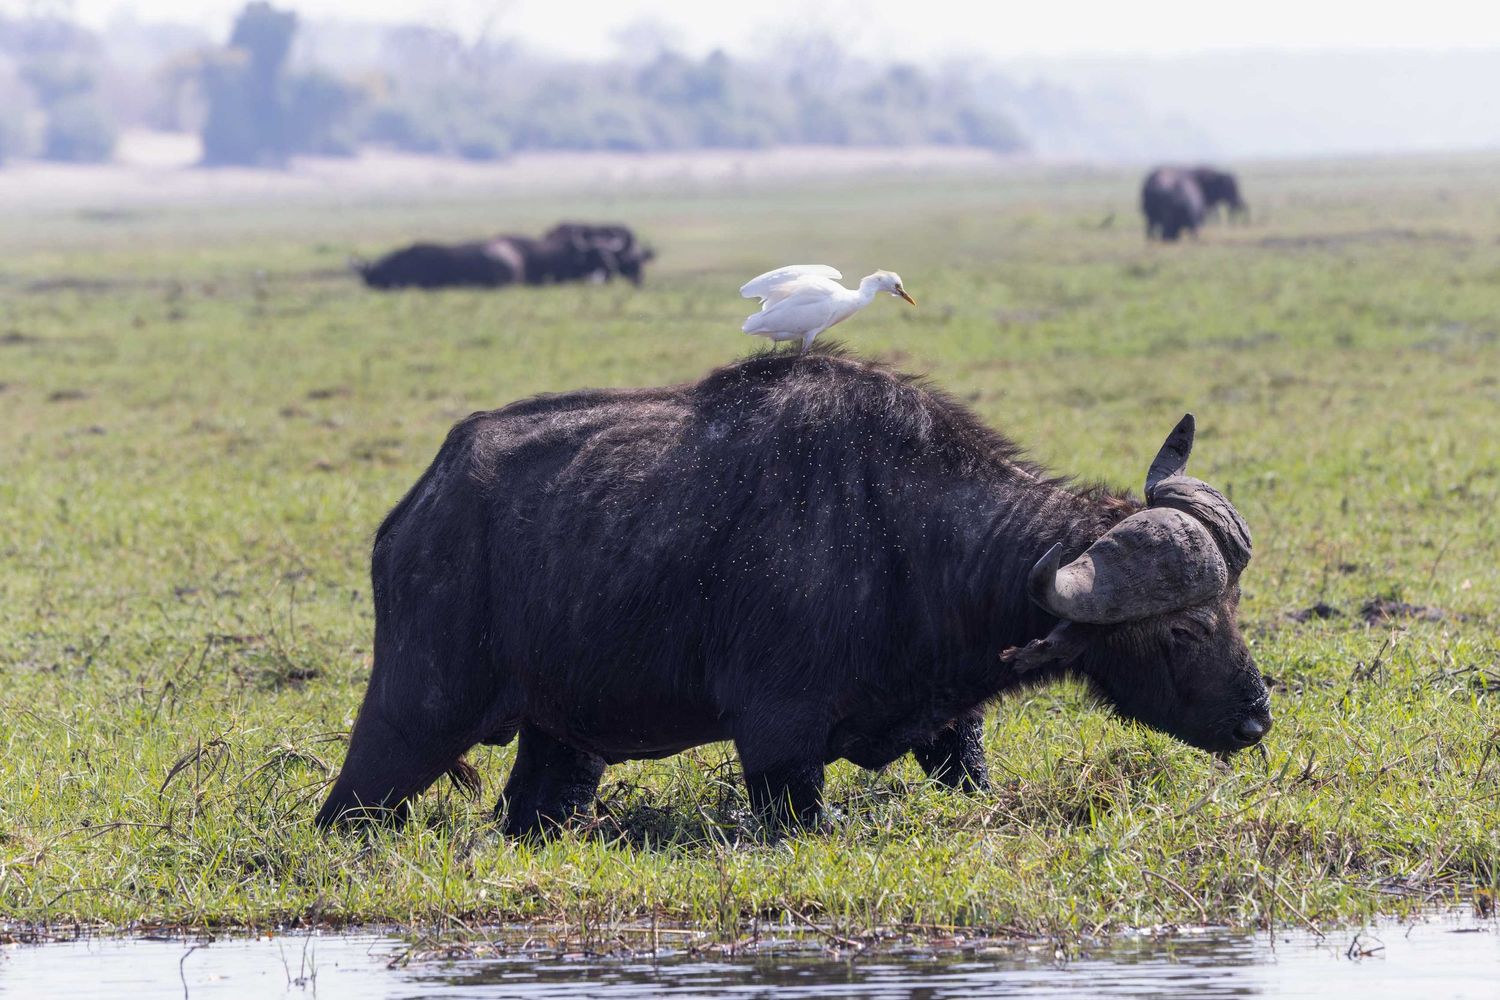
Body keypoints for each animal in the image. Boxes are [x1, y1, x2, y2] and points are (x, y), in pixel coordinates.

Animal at [316, 350, 1269, 836]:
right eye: (1181, 631)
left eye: (1232, 610)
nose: (1256, 719)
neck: (909, 533)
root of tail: (415, 511)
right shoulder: (778, 745)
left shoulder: (949, 731)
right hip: (411, 719)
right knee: (349, 805)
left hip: (560, 743)